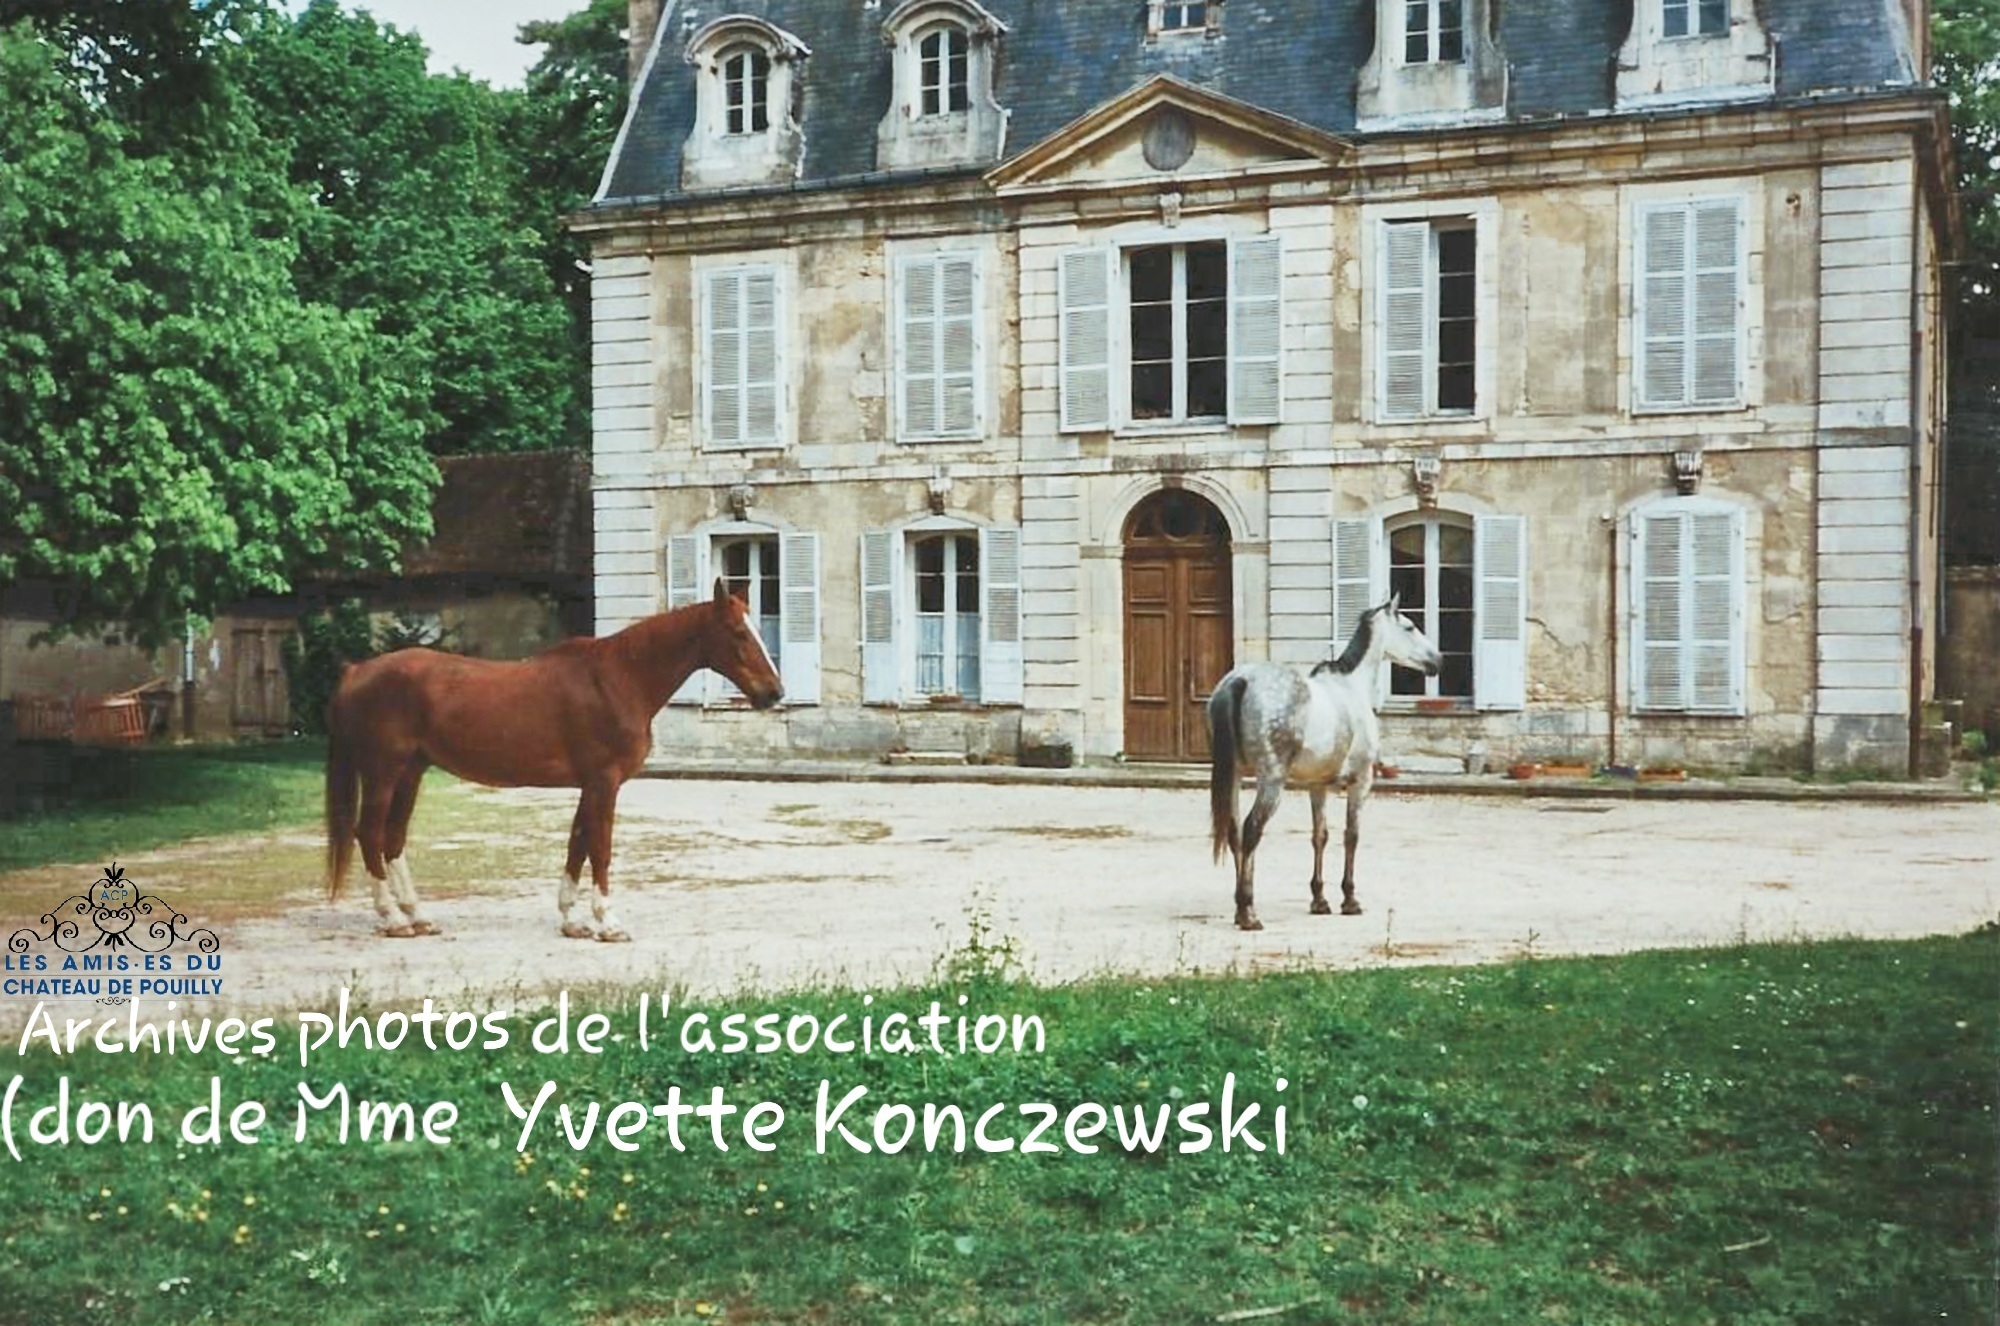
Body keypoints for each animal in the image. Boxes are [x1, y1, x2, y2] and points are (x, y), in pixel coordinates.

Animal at [326, 584, 780, 944]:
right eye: (739, 633)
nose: (774, 692)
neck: (619, 680)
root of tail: (356, 670)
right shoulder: (604, 782)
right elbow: (600, 849)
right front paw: (608, 923)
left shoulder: (589, 785)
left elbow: (577, 845)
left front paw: (571, 921)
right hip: (383, 773)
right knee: (369, 835)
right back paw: (393, 919)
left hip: (411, 773)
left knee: (393, 838)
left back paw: (418, 916)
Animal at [1200, 600, 1440, 932]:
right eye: (1410, 626)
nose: (1437, 661)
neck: (1351, 687)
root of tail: (1240, 680)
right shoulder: (1361, 783)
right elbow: (1351, 836)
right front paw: (1349, 900)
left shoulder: (1317, 786)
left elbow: (1320, 836)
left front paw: (1319, 900)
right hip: (1271, 782)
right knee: (1251, 831)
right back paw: (1248, 912)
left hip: (1233, 777)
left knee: (1235, 834)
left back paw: (1240, 910)